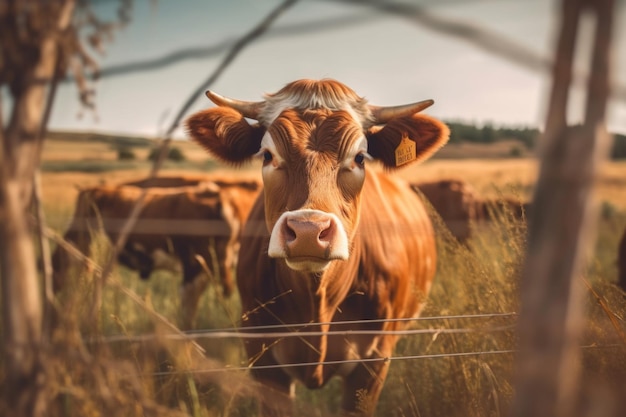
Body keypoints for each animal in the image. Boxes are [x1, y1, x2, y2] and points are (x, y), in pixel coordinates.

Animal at [185, 79, 448, 416]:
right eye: (267, 155)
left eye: (360, 157)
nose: (308, 231)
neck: (316, 302)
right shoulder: (263, 359)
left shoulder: (374, 362)